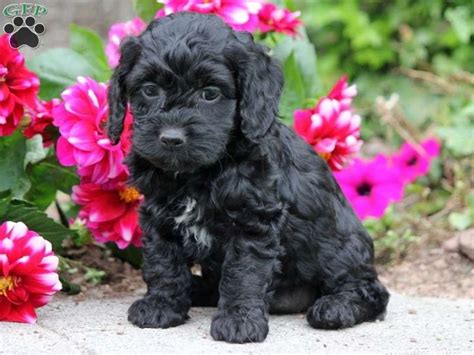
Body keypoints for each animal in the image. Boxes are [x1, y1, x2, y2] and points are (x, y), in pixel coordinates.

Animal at [107, 12, 388, 344]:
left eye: (210, 94)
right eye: (149, 89)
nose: (171, 138)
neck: (199, 173)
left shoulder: (253, 221)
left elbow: (244, 272)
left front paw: (238, 321)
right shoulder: (158, 213)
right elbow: (163, 261)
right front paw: (160, 305)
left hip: (339, 248)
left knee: (371, 289)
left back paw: (335, 307)